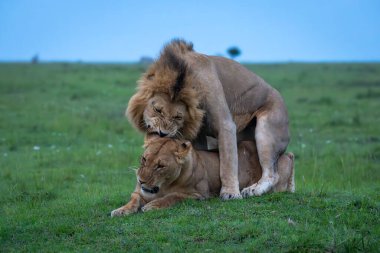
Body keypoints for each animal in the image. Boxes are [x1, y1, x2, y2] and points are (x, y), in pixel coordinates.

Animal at [110, 137, 294, 216]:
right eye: (144, 159)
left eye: (160, 166)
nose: (140, 180)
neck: (164, 185)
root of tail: (285, 155)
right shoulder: (139, 192)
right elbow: (133, 200)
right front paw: (120, 210)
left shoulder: (199, 195)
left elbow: (173, 197)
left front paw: (153, 205)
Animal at [126, 39, 290, 200]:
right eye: (158, 110)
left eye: (178, 117)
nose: (162, 134)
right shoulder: (196, 135)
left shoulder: (225, 124)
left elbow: (227, 162)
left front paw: (230, 193)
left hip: (266, 130)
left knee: (272, 173)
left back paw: (253, 190)